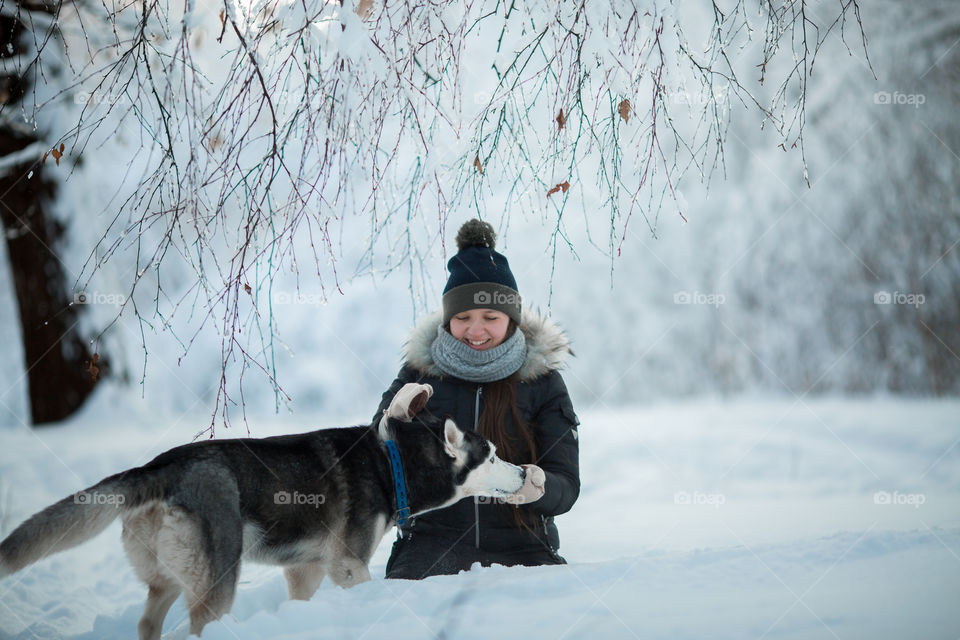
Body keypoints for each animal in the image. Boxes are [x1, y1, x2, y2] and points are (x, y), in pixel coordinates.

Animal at [0, 382, 540, 636]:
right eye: (492, 455)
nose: (522, 473)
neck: (393, 465)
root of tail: (159, 467)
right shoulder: (348, 566)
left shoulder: (306, 570)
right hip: (217, 583)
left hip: (165, 580)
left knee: (149, 622)